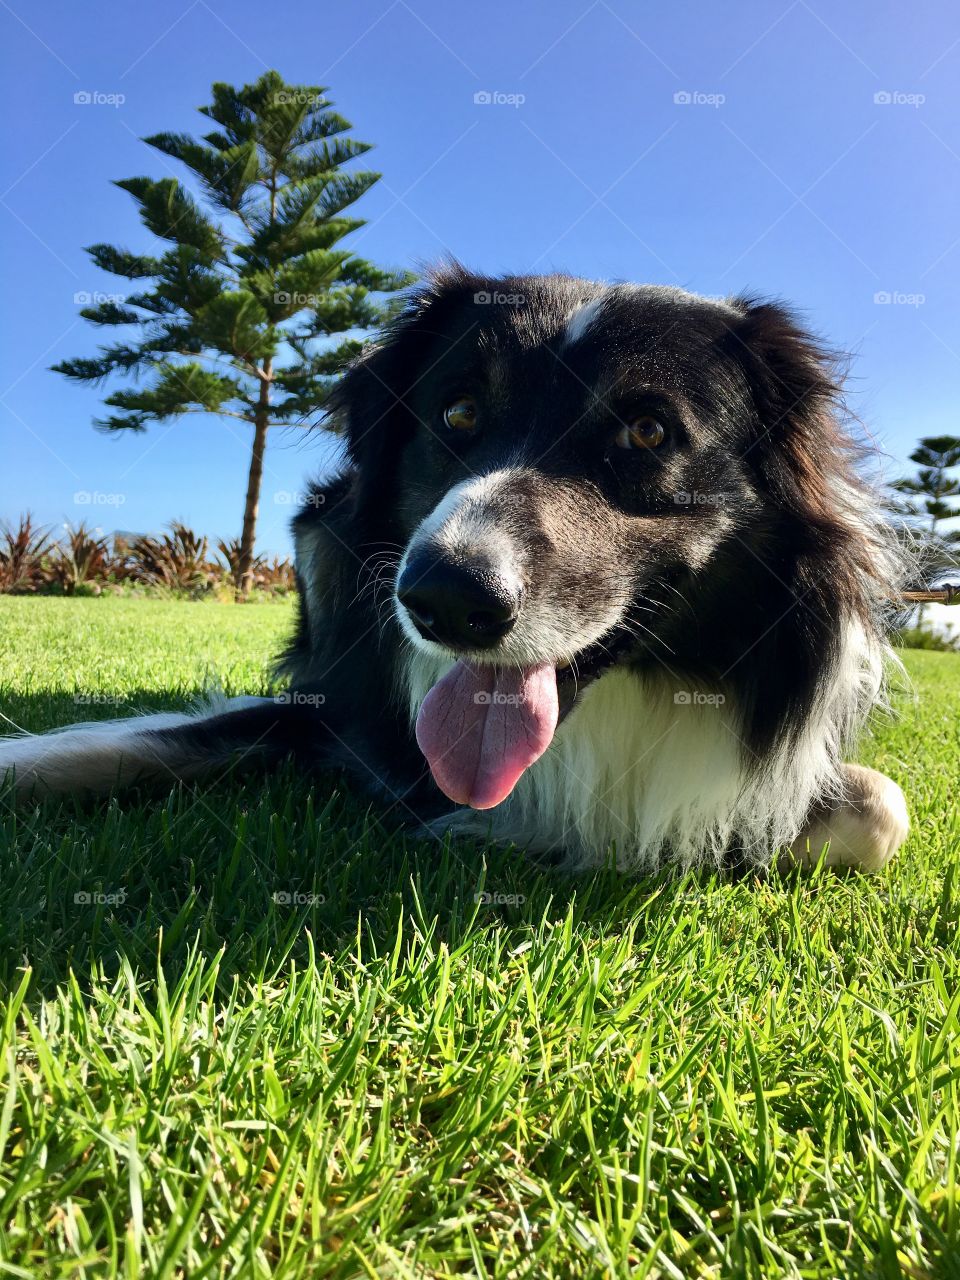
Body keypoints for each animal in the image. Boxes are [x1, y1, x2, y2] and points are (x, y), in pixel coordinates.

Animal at [0, 266, 911, 875]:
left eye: (649, 432)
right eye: (460, 411)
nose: (443, 600)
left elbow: (880, 807)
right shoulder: (344, 706)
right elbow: (129, 742)